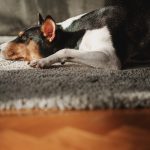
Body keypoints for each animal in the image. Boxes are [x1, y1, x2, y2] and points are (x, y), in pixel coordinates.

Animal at [0, 0, 150, 69]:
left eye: (24, 38)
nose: (0, 47)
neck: (74, 35)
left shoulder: (110, 57)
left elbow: (64, 50)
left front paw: (42, 61)